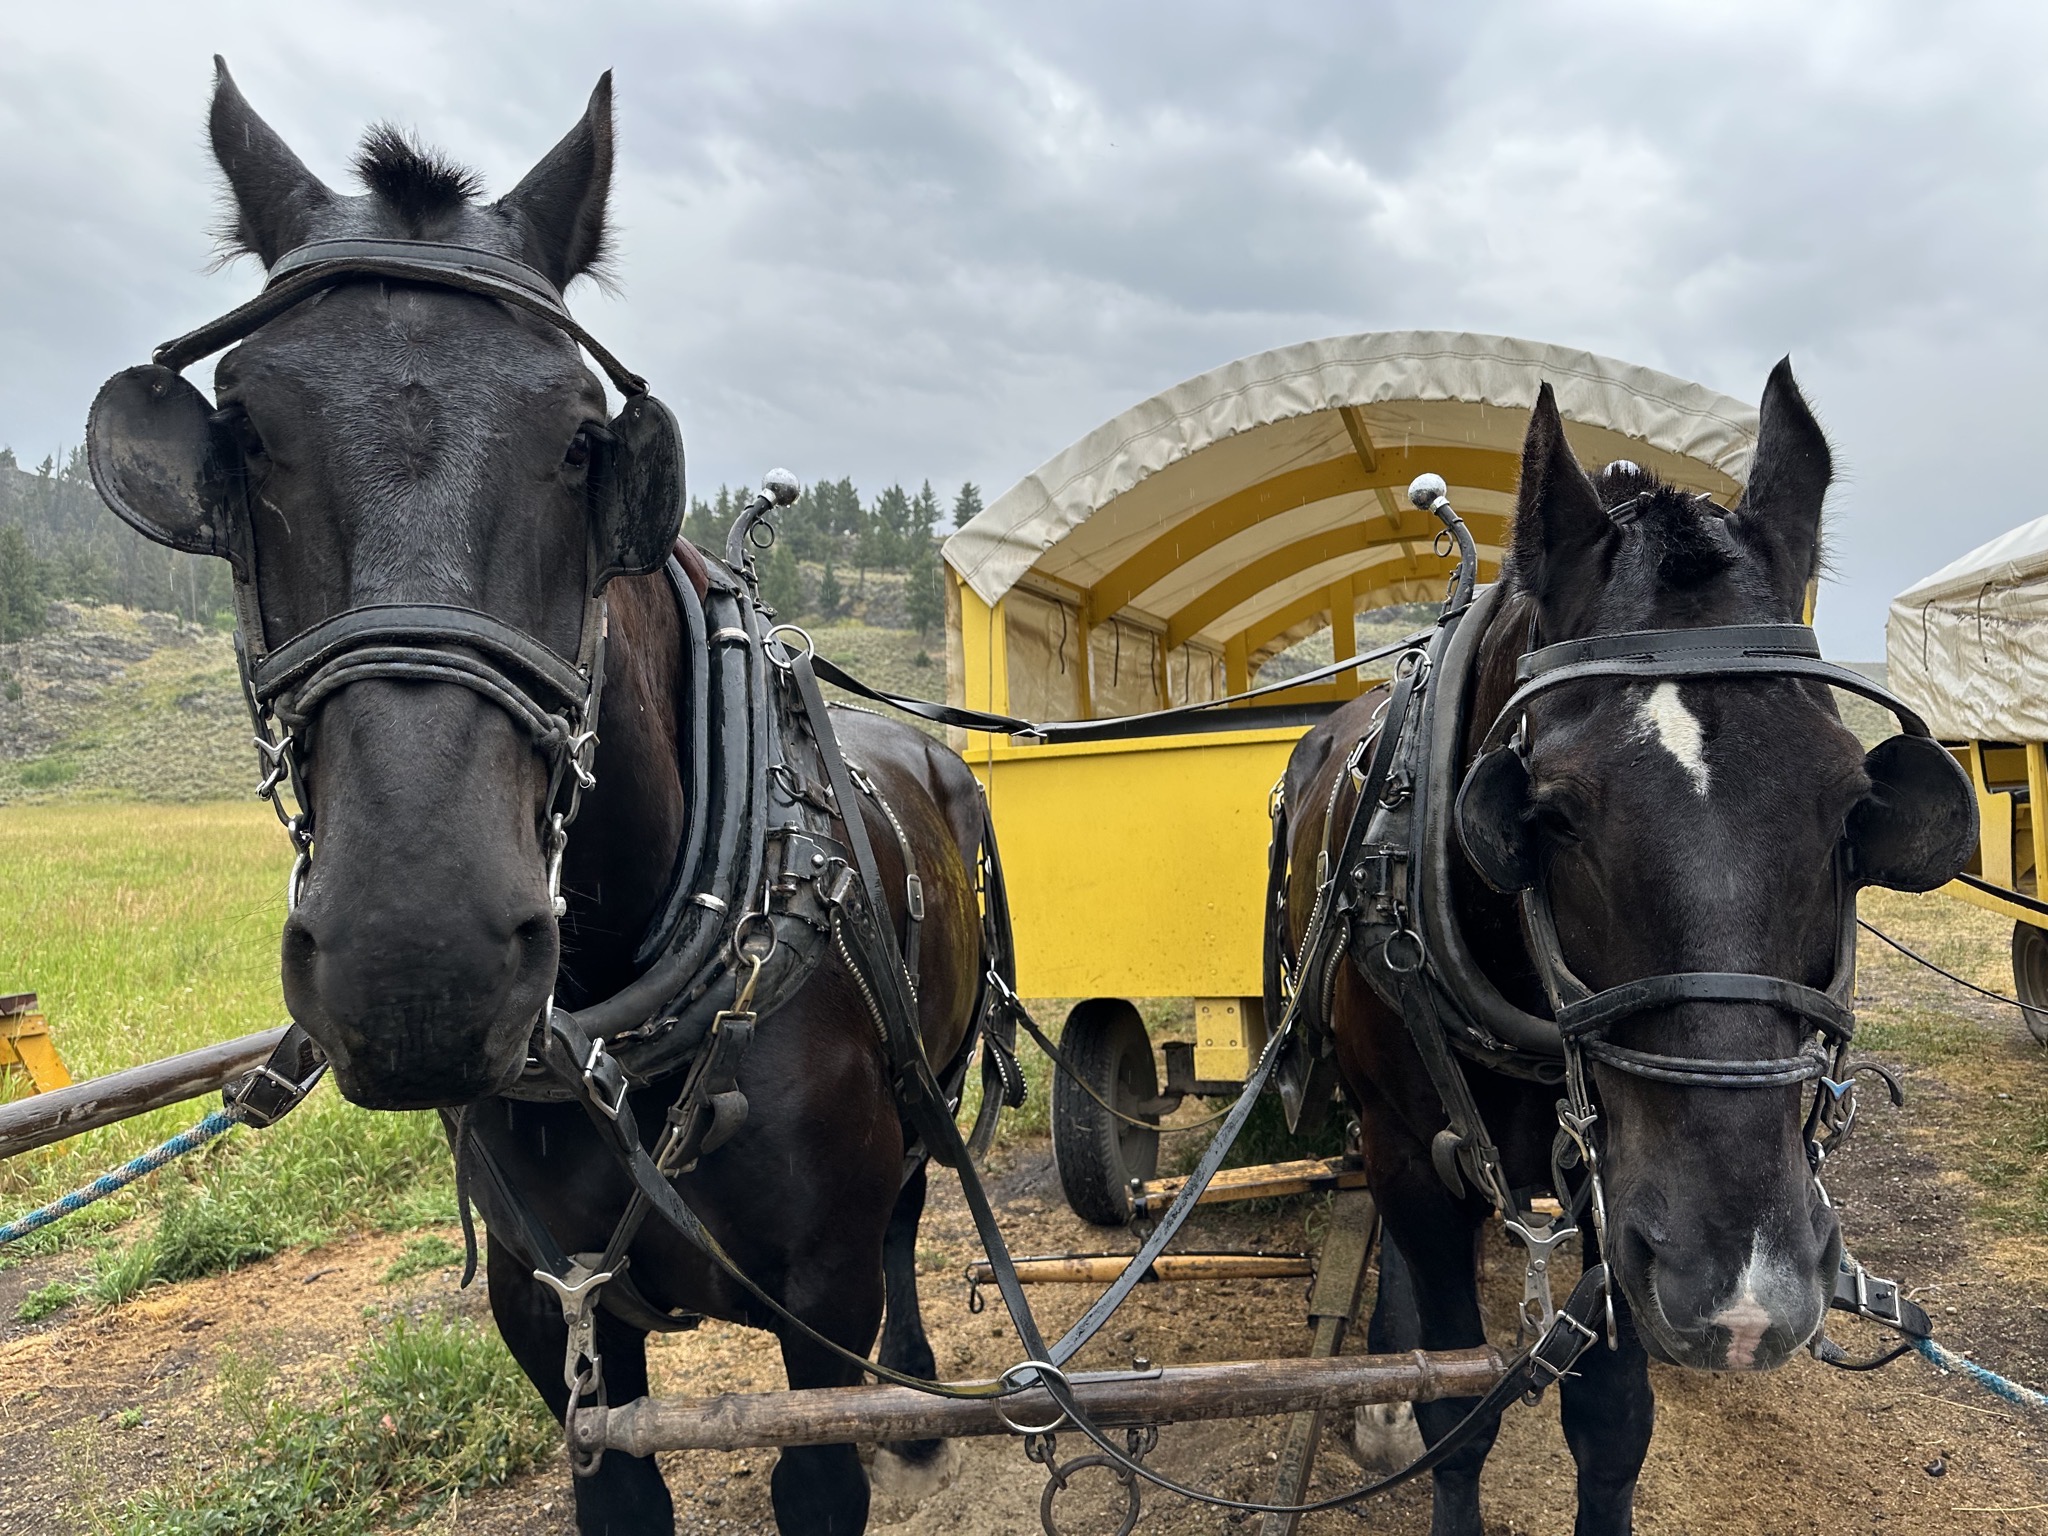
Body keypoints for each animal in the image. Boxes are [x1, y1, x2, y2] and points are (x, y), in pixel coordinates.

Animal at [100, 63, 990, 1535]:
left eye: (584, 444)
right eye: (239, 438)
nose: (416, 962)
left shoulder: (813, 1300)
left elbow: (823, 1454)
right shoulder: (548, 1312)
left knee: (915, 1216)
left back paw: (915, 1399)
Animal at [1277, 370, 1975, 1535]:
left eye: (1852, 808)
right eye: (1548, 816)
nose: (1743, 1293)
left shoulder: (1618, 1207)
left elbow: (1610, 1423)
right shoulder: (1414, 1157)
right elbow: (1453, 1406)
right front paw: (1406, 1399)